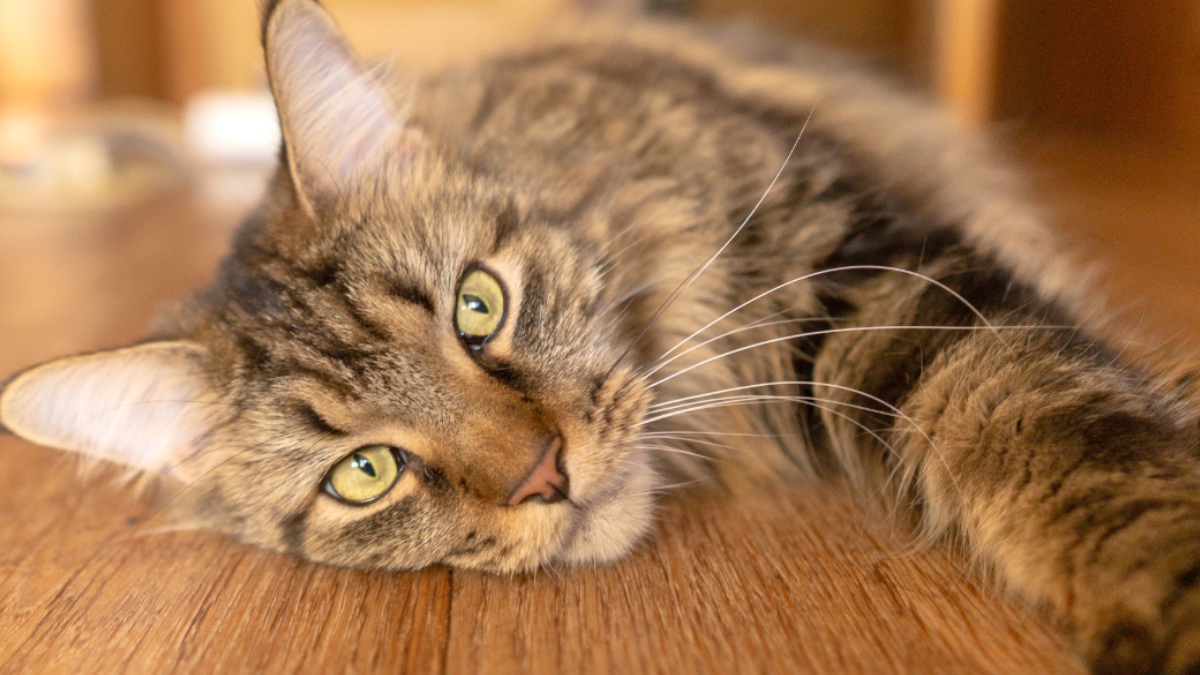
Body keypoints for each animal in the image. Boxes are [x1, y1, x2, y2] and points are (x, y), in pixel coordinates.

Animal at [2, 0, 1200, 667]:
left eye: (479, 306)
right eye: (366, 473)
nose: (547, 473)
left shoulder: (858, 270)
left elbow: (1060, 434)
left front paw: (1167, 589)